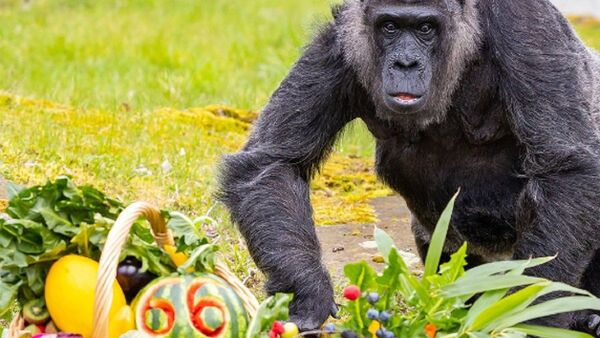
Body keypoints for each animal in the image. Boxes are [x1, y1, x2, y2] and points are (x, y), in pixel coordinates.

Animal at [218, 0, 600, 334]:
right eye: (389, 26)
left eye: (425, 28)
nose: (405, 63)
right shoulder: (339, 41)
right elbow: (273, 162)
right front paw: (307, 292)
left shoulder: (527, 25)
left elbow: (568, 167)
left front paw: (531, 313)